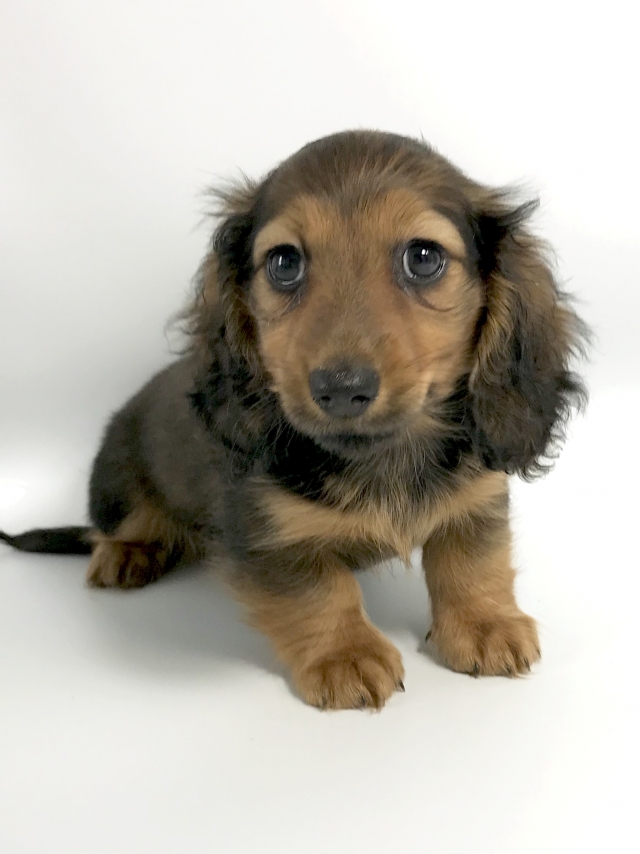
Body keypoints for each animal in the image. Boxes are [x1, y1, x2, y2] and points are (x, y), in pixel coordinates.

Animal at [0, 131, 587, 709]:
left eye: (423, 258)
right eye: (285, 263)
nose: (341, 389)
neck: (382, 454)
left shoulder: (476, 495)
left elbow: (473, 561)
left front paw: (486, 623)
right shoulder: (269, 533)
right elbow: (319, 590)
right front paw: (345, 653)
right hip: (117, 478)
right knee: (116, 524)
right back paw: (127, 552)